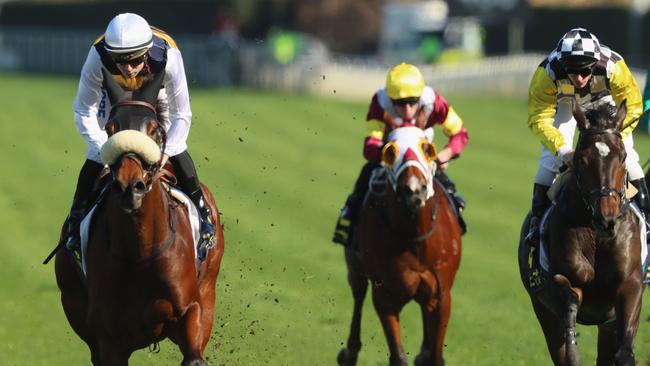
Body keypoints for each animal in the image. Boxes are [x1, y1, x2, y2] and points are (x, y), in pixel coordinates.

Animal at [53, 70, 225, 364]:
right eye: (110, 129)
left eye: (154, 129)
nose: (129, 186)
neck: (140, 252)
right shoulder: (108, 337)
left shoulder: (191, 311)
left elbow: (194, 354)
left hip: (209, 288)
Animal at [336, 126, 464, 366]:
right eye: (390, 151)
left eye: (427, 149)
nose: (413, 191)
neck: (415, 237)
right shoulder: (385, 295)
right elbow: (398, 356)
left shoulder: (442, 294)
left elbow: (436, 355)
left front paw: (427, 354)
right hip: (355, 266)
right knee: (358, 295)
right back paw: (349, 353)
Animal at [520, 101, 640, 366]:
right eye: (582, 160)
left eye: (623, 157)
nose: (607, 218)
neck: (597, 237)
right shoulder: (560, 280)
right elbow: (571, 302)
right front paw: (574, 351)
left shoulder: (631, 284)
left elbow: (625, 350)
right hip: (543, 310)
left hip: (607, 323)